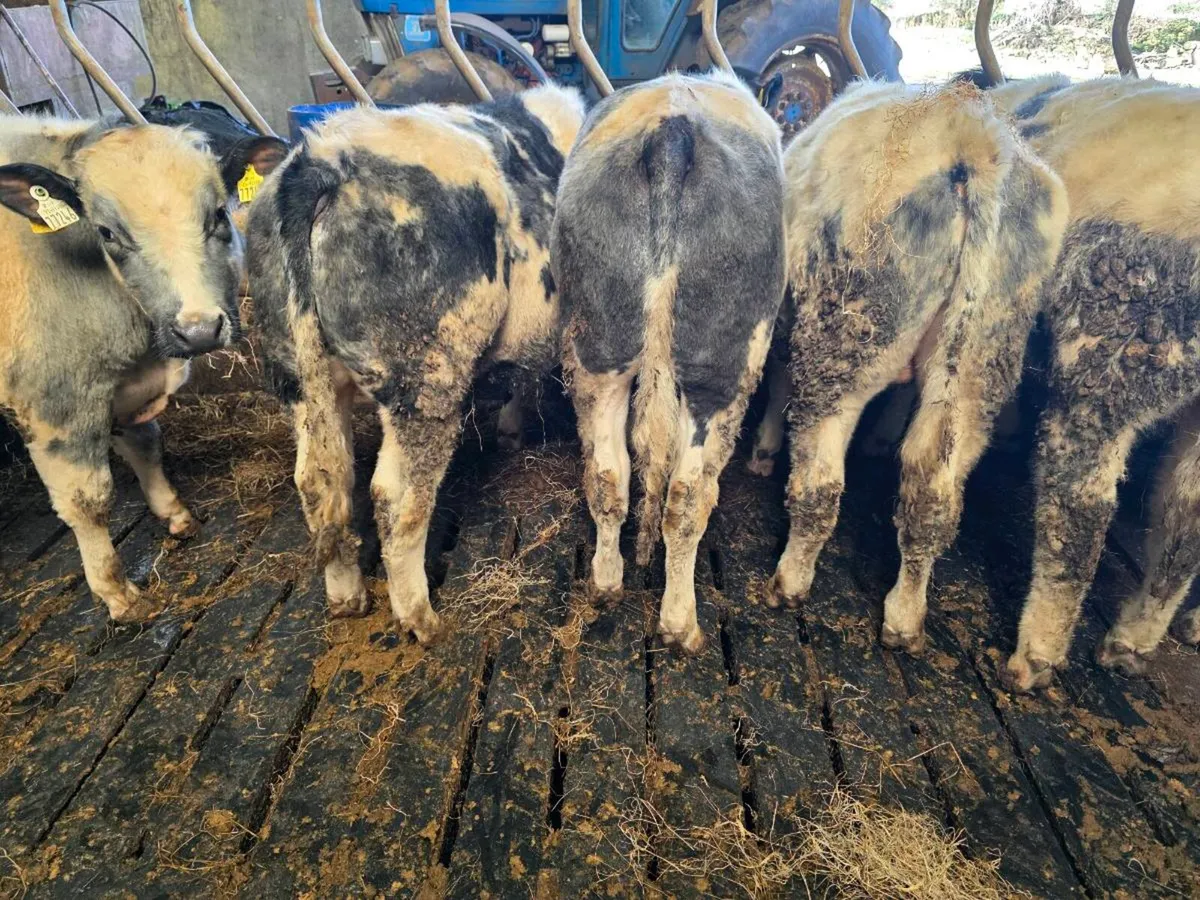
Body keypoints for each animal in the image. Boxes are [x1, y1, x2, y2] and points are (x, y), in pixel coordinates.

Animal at [0, 114, 286, 621]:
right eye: (106, 233)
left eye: (218, 215)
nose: (198, 330)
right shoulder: (54, 404)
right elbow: (87, 500)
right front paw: (115, 591)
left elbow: (146, 445)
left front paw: (174, 513)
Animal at [246, 84, 585, 642]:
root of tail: (320, 157)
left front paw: (511, 429)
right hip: (426, 378)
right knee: (396, 497)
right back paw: (421, 618)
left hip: (298, 378)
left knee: (321, 482)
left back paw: (348, 599)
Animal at [552, 68, 787, 653]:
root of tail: (672, 132)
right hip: (721, 367)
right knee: (686, 496)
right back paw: (681, 623)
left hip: (598, 347)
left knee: (607, 476)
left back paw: (606, 583)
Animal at [765, 81, 1069, 657]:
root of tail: (975, 137)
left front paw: (762, 452)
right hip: (978, 362)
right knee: (932, 489)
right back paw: (905, 617)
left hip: (844, 340)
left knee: (820, 481)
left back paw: (790, 581)